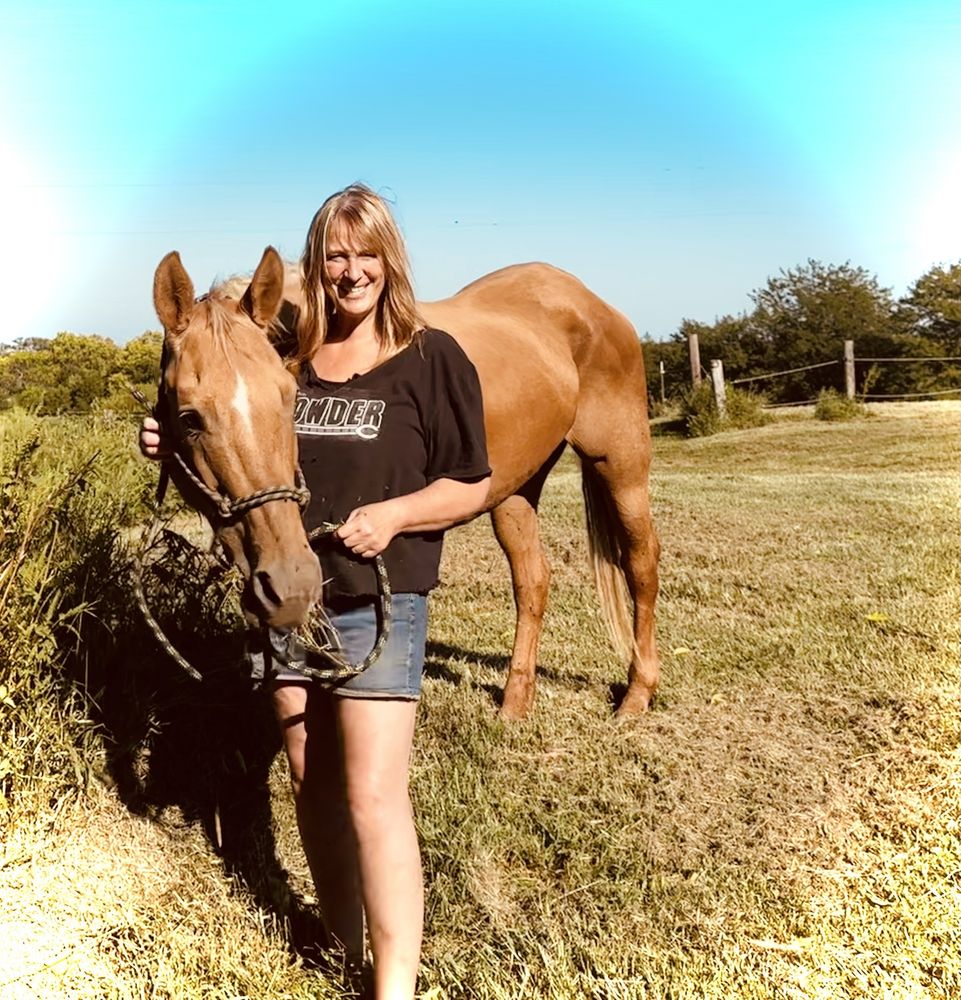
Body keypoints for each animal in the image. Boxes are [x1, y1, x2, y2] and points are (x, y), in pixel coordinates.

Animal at [152, 246, 660, 717]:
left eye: (287, 397)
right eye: (189, 417)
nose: (291, 582)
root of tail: (591, 302)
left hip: (620, 464)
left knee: (641, 562)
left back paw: (637, 694)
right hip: (516, 490)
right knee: (533, 579)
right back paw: (516, 702)